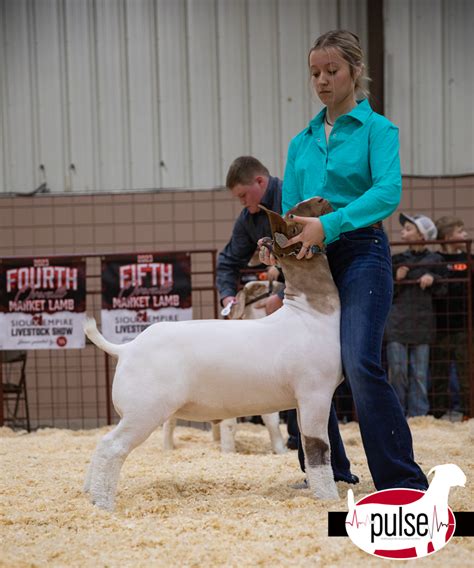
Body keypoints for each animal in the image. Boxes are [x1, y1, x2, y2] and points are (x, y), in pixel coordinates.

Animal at [161, 280, 286, 458]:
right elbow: (230, 425)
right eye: (257, 287)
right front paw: (229, 452)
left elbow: (272, 421)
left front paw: (281, 451)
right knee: (169, 423)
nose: (281, 284)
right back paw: (168, 449)